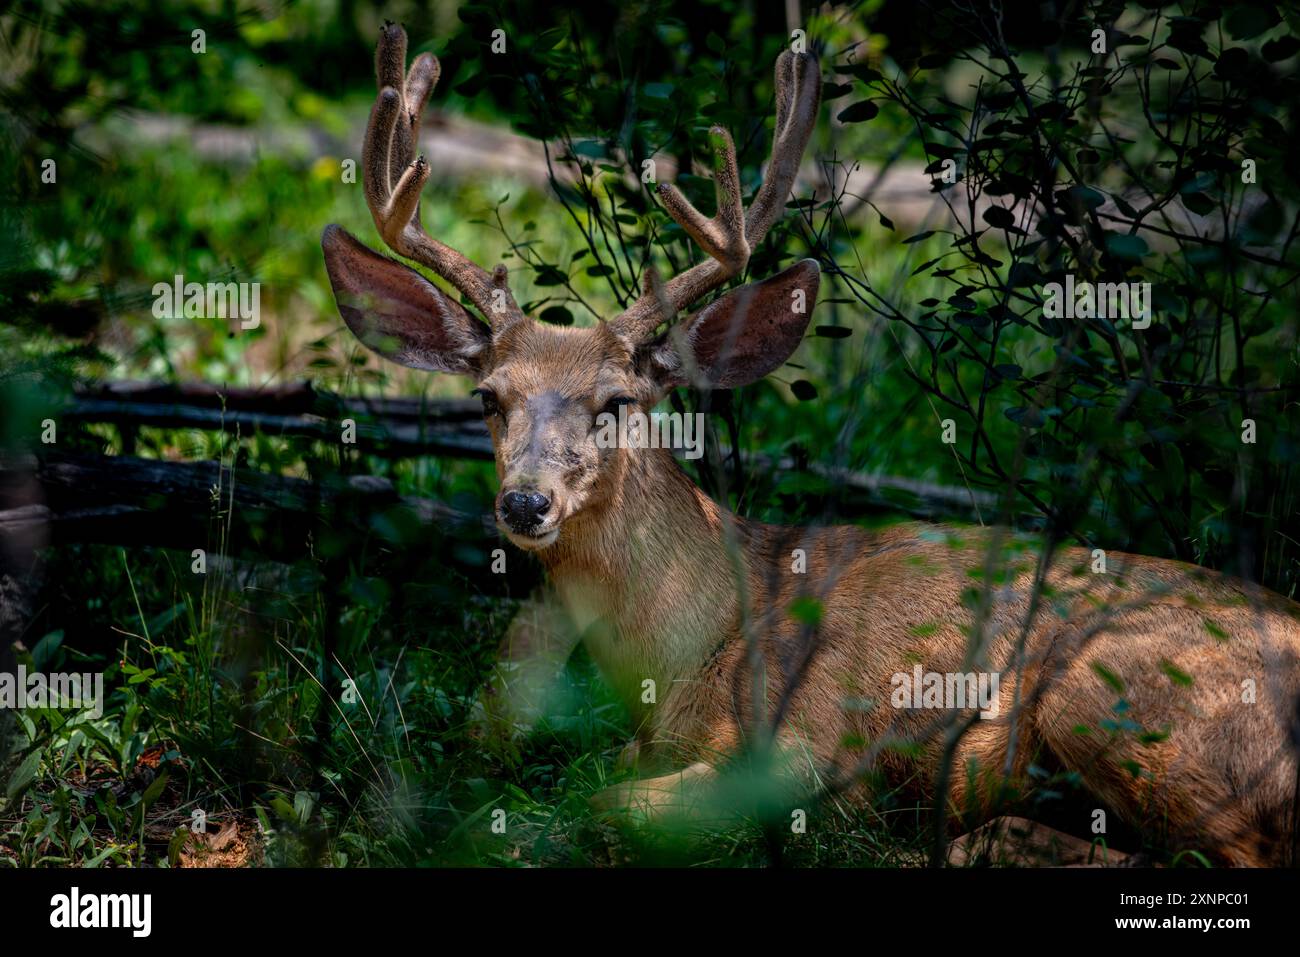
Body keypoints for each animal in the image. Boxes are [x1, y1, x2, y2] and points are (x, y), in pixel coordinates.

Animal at [322, 24, 1300, 866]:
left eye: (618, 401)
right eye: (488, 397)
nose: (525, 501)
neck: (696, 651)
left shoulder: (808, 739)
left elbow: (604, 803)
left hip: (1118, 689)